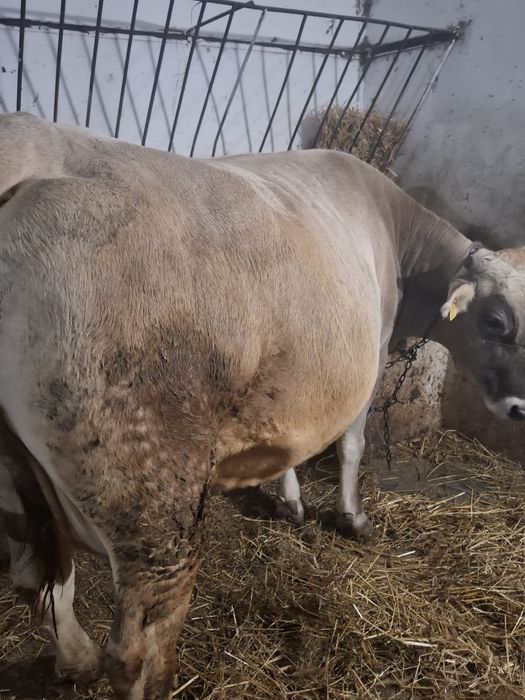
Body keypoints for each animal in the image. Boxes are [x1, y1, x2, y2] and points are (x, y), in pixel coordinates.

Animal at [0, 111, 524, 699]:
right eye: (496, 321)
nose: (520, 409)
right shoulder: (370, 355)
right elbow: (351, 442)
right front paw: (352, 517)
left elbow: (289, 442)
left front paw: (290, 503)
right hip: (145, 477)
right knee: (138, 641)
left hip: (19, 479)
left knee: (41, 582)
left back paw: (76, 660)